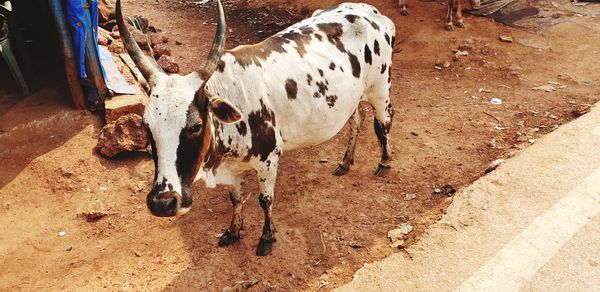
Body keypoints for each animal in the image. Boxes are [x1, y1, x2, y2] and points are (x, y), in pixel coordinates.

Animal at [118, 0, 398, 256]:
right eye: (145, 125)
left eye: (196, 125)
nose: (163, 203)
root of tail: (371, 11)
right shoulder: (232, 170)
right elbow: (235, 199)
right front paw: (233, 230)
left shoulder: (269, 159)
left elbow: (266, 201)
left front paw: (267, 238)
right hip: (352, 98)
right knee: (357, 121)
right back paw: (346, 162)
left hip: (380, 88)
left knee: (384, 122)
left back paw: (384, 162)